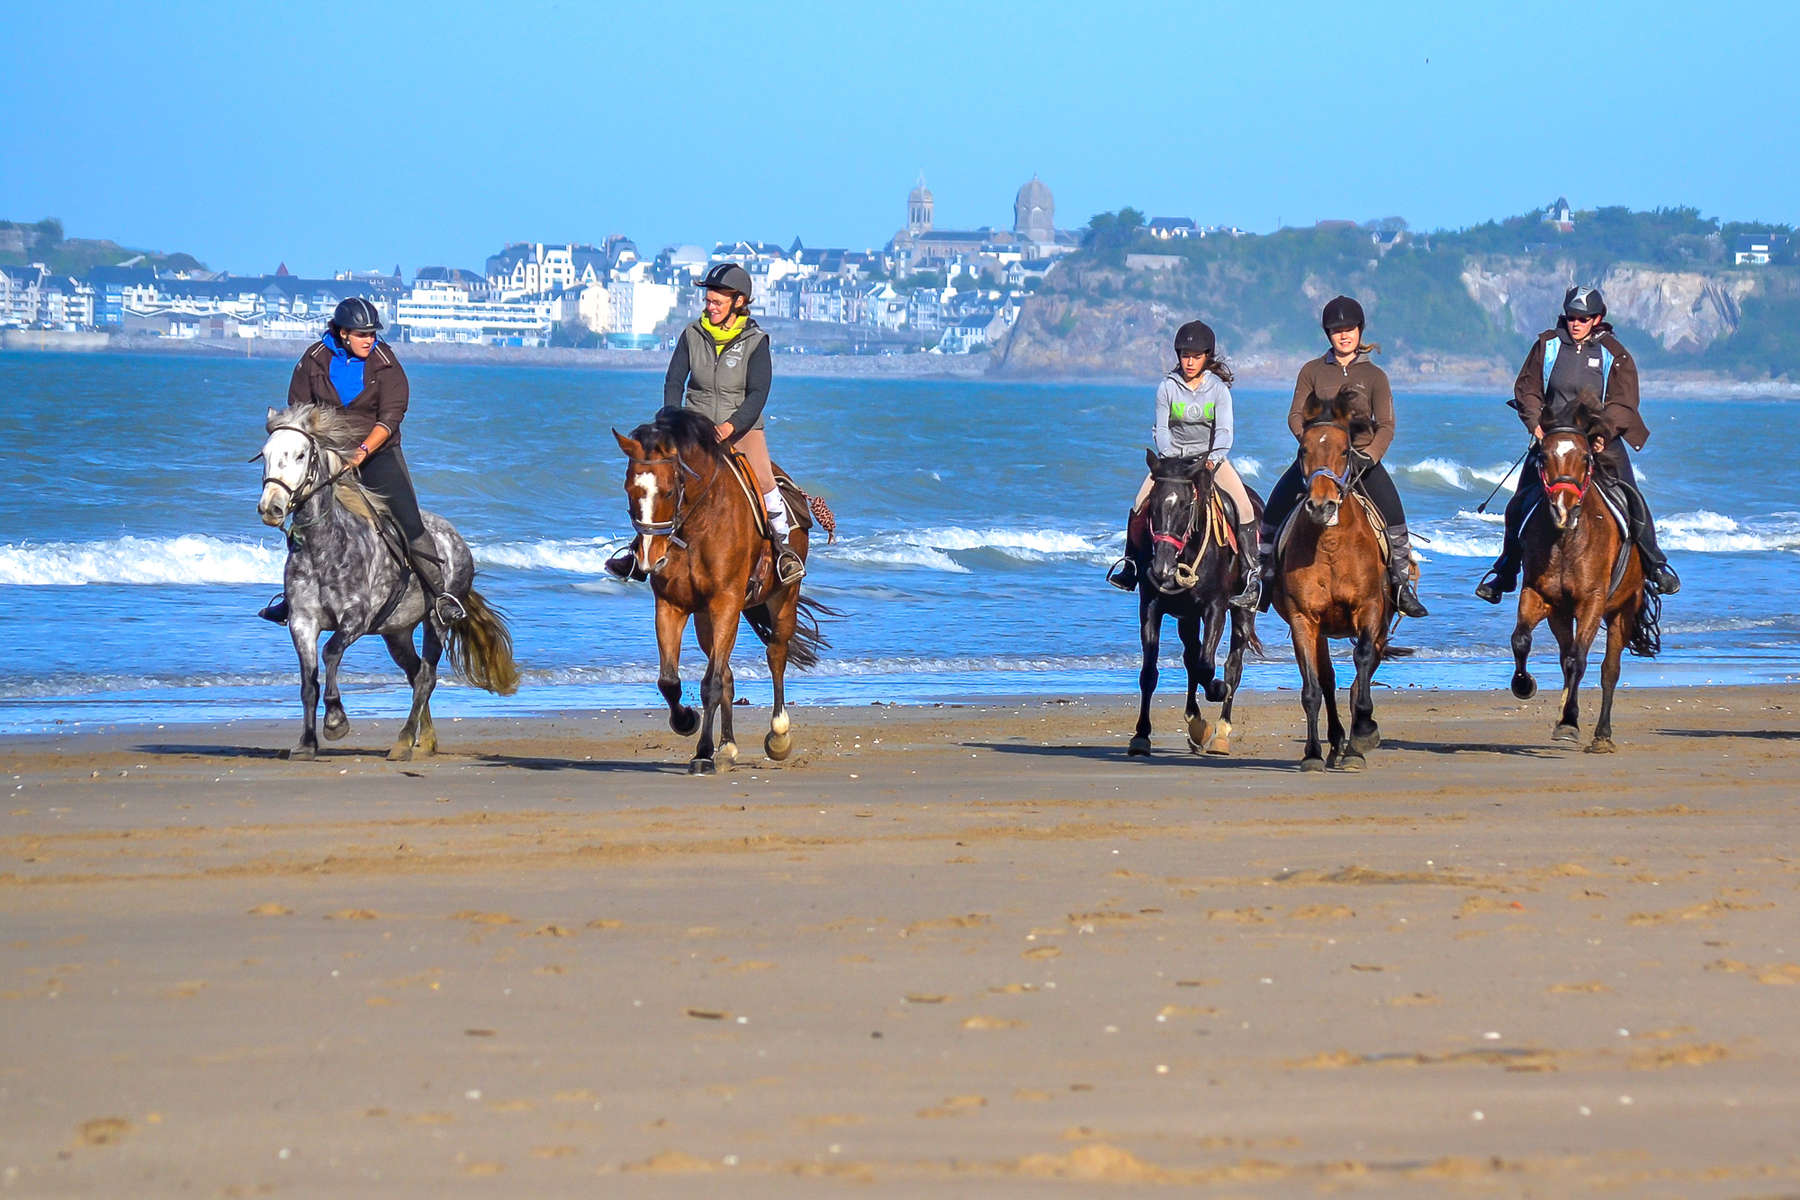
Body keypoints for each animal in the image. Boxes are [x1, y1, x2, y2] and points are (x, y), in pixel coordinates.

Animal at [253, 402, 522, 759]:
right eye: (265, 454)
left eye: (300, 455)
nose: (271, 508)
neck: (323, 547)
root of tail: (456, 537)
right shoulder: (301, 622)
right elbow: (308, 683)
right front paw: (307, 743)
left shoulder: (356, 619)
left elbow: (330, 652)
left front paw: (336, 721)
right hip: (396, 632)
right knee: (414, 672)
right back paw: (425, 740)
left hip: (436, 621)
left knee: (425, 677)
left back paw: (404, 741)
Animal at [604, 408, 828, 773]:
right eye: (629, 489)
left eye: (669, 491)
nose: (650, 559)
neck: (697, 526)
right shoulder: (672, 605)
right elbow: (670, 681)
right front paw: (689, 726)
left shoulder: (726, 603)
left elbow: (711, 682)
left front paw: (702, 754)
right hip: (705, 619)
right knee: (727, 673)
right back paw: (727, 746)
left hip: (783, 599)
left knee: (775, 655)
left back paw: (778, 735)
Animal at [1123, 455, 1267, 755]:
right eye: (1153, 505)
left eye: (1186, 505)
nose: (1162, 568)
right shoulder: (1151, 608)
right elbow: (1150, 673)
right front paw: (1141, 735)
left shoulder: (1215, 609)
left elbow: (1207, 666)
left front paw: (1218, 690)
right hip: (1186, 617)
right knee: (1191, 656)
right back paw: (1196, 723)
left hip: (1242, 612)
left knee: (1232, 664)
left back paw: (1221, 732)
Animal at [1267, 390, 1404, 773]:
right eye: (1303, 449)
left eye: (1345, 451)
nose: (1320, 505)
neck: (1329, 546)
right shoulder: (1303, 619)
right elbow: (1313, 687)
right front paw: (1313, 753)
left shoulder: (1369, 609)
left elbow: (1362, 660)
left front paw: (1363, 736)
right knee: (1328, 679)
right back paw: (1334, 744)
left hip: (1381, 619)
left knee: (1366, 665)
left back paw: (1354, 740)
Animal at [1504, 401, 1648, 752]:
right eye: (1543, 456)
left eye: (1585, 457)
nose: (1562, 510)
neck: (1566, 539)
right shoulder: (1539, 594)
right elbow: (1521, 640)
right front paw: (1524, 685)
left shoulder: (1592, 602)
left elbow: (1579, 660)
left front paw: (1568, 722)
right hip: (1561, 614)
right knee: (1563, 654)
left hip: (1622, 611)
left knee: (1608, 669)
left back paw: (1602, 735)